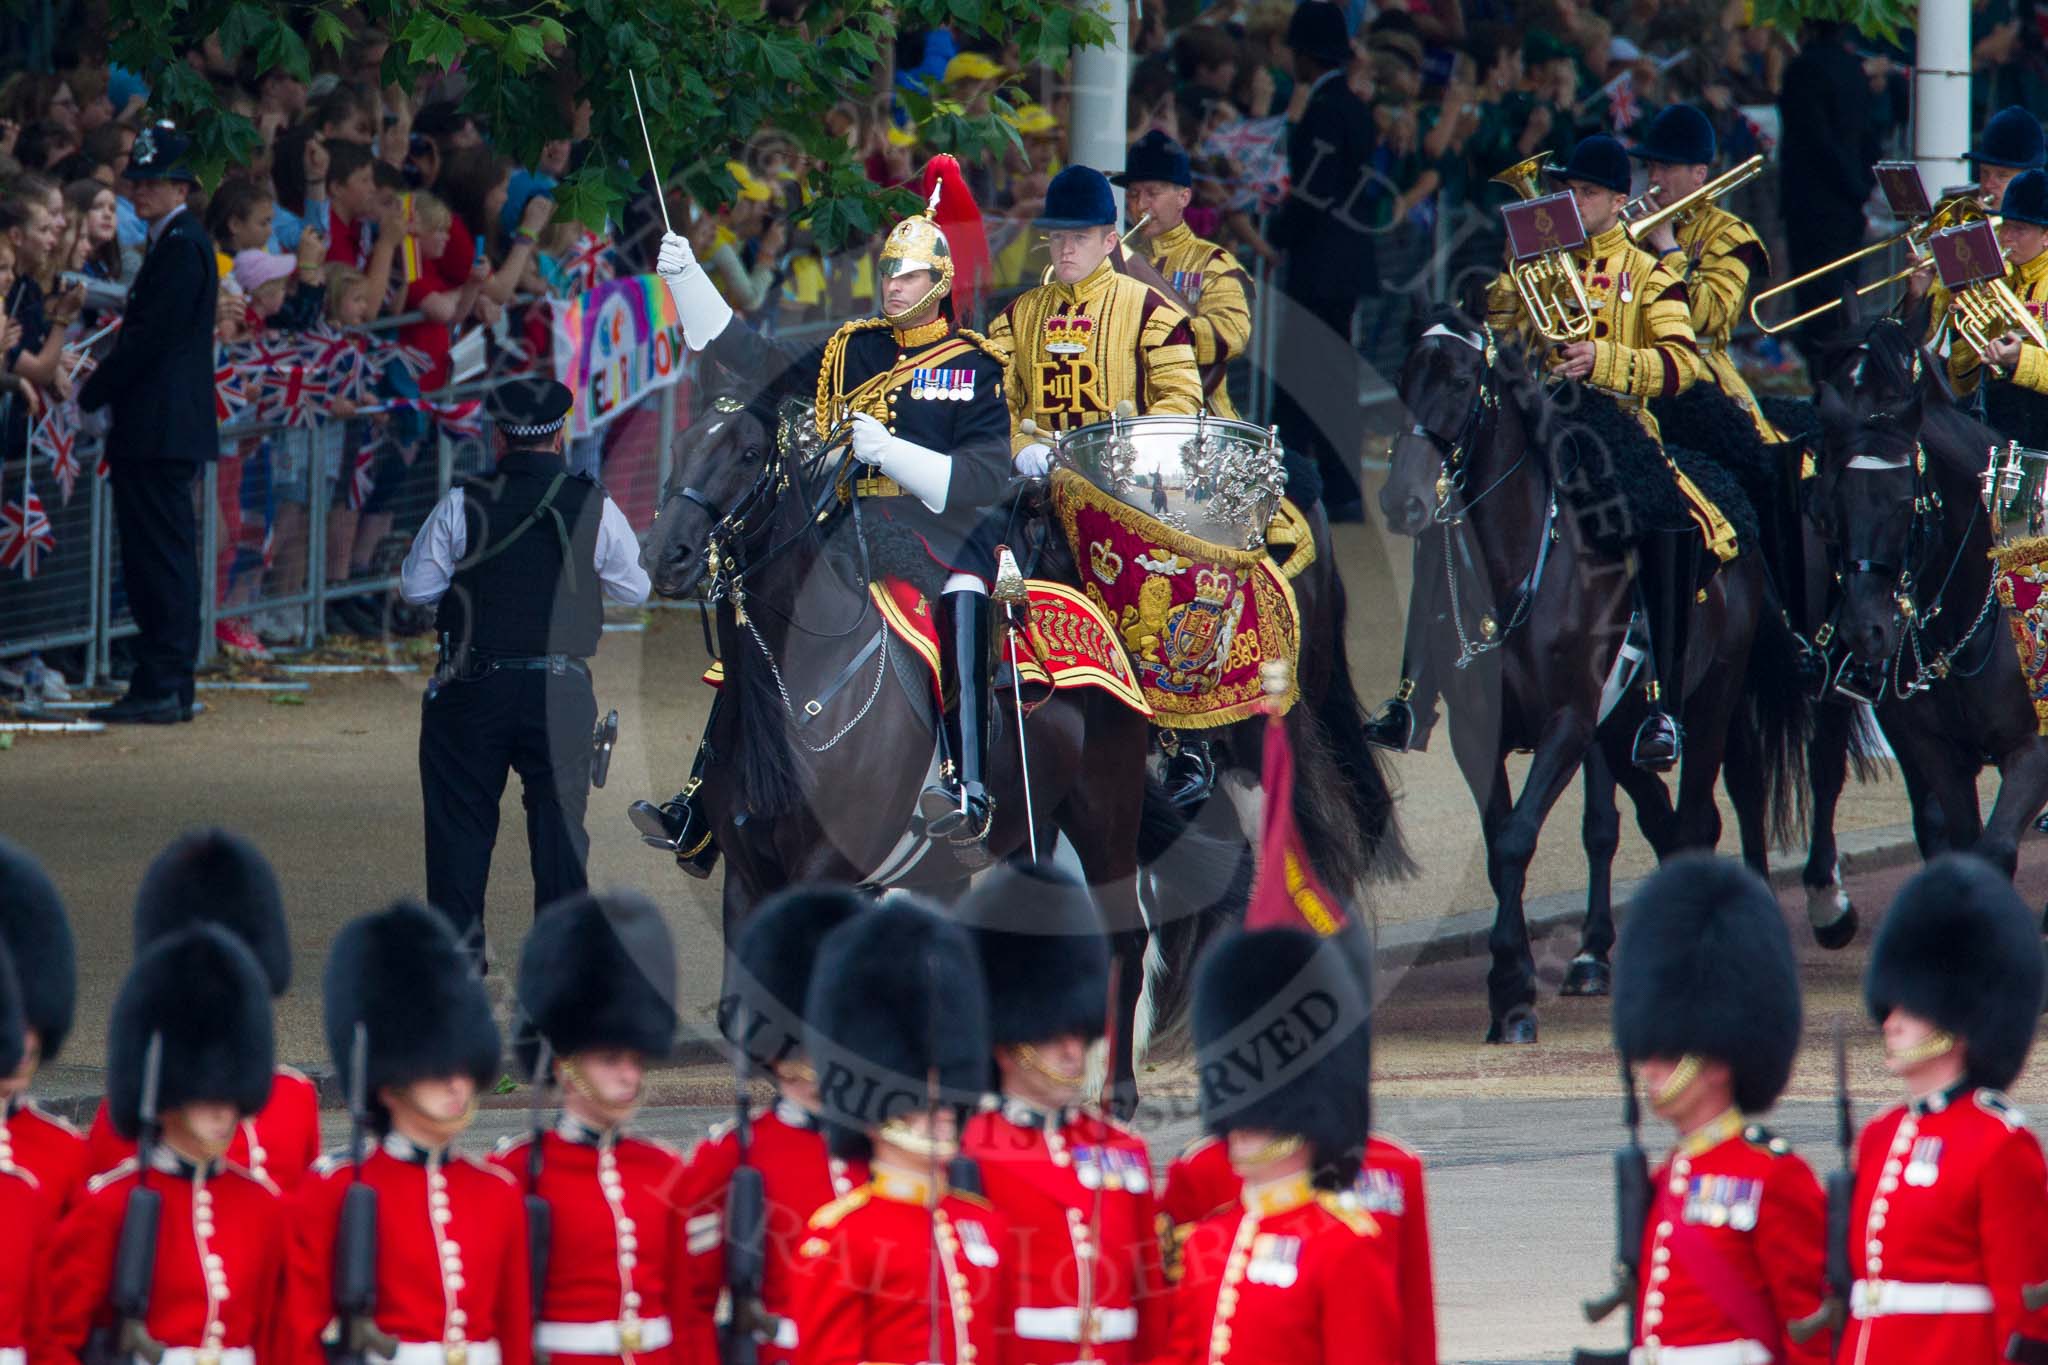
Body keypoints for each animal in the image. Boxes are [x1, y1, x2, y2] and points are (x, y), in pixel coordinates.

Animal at [638, 401, 1245, 1105]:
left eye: (747, 454)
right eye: (679, 445)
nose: (665, 554)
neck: (805, 685)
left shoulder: (825, 868)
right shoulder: (746, 876)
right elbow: (754, 1018)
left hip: (1103, 811)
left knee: (1125, 936)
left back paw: (1112, 1094)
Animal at [1376, 306, 1810, 1035]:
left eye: (1462, 381)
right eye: (1403, 377)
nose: (1401, 500)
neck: (1518, 566)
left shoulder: (1569, 721)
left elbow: (1516, 839)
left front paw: (1513, 985)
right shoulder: (1479, 735)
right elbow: (1498, 845)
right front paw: (1512, 989)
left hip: (1710, 701)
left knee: (1705, 813)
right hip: (1623, 726)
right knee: (1664, 822)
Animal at [1810, 319, 2048, 871]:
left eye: (1905, 504)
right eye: (1835, 507)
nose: (1864, 631)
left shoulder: (2034, 749)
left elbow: (1994, 850)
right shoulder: (1937, 754)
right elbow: (1958, 842)